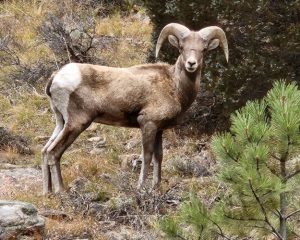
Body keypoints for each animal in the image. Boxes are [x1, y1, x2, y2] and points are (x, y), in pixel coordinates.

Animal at [42, 23, 229, 194]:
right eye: (181, 48)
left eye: (203, 49)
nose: (191, 64)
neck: (175, 86)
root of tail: (56, 77)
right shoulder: (148, 124)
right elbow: (147, 157)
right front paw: (141, 188)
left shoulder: (159, 130)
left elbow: (159, 156)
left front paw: (156, 187)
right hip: (77, 123)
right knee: (53, 153)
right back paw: (61, 191)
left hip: (61, 122)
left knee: (45, 151)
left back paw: (47, 192)